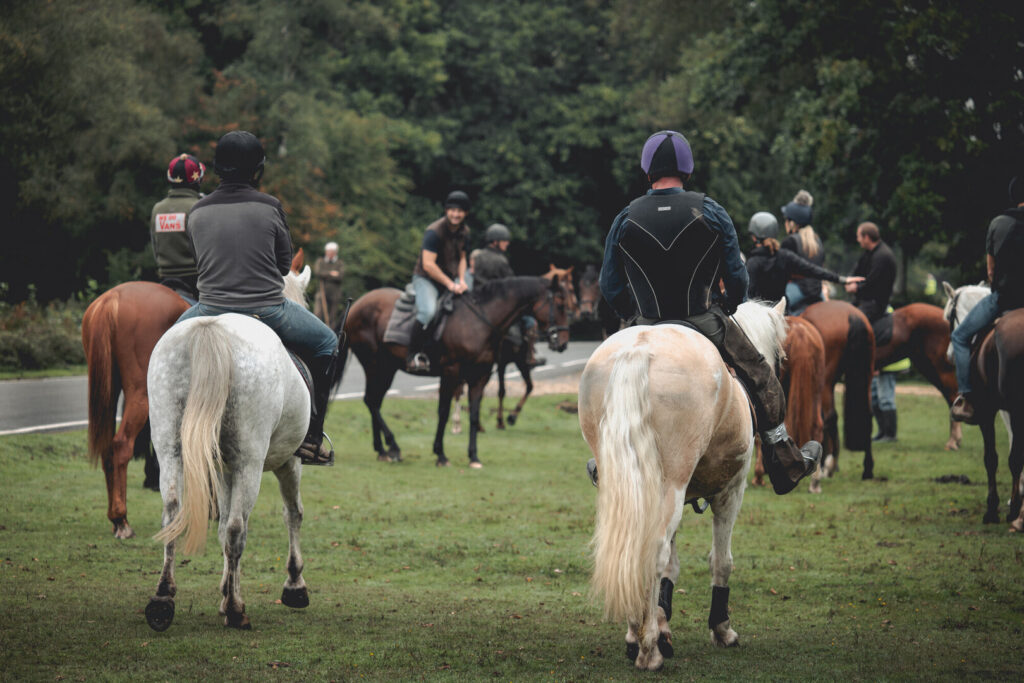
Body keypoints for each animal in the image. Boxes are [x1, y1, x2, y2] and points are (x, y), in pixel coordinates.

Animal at [143, 265, 316, 632]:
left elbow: (221, 528)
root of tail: (211, 330)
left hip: (171, 449)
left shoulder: (222, 469)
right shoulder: (289, 462)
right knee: (238, 527)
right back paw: (237, 610)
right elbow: (292, 513)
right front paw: (293, 585)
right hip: (250, 463)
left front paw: (224, 593)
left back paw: (163, 599)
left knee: (173, 513)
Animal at [343, 275, 571, 467]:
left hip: (386, 368)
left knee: (374, 402)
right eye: (560, 305)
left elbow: (475, 415)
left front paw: (473, 456)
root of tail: (358, 304)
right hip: (374, 365)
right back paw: (393, 446)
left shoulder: (480, 377)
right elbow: (443, 412)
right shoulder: (451, 372)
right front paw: (441, 454)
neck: (478, 321)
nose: (563, 343)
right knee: (372, 401)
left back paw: (382, 450)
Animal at [579, 300, 788, 671]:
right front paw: (721, 630)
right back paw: (649, 651)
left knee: (632, 549)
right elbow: (721, 561)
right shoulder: (731, 491)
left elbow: (670, 569)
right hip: (672, 486)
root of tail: (639, 349)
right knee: (652, 551)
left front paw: (662, 626)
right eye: (781, 356)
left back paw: (636, 635)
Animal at [800, 300, 876, 479]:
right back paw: (867, 469)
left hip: (826, 382)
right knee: (868, 415)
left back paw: (828, 465)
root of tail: (851, 315)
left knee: (830, 418)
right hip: (867, 376)